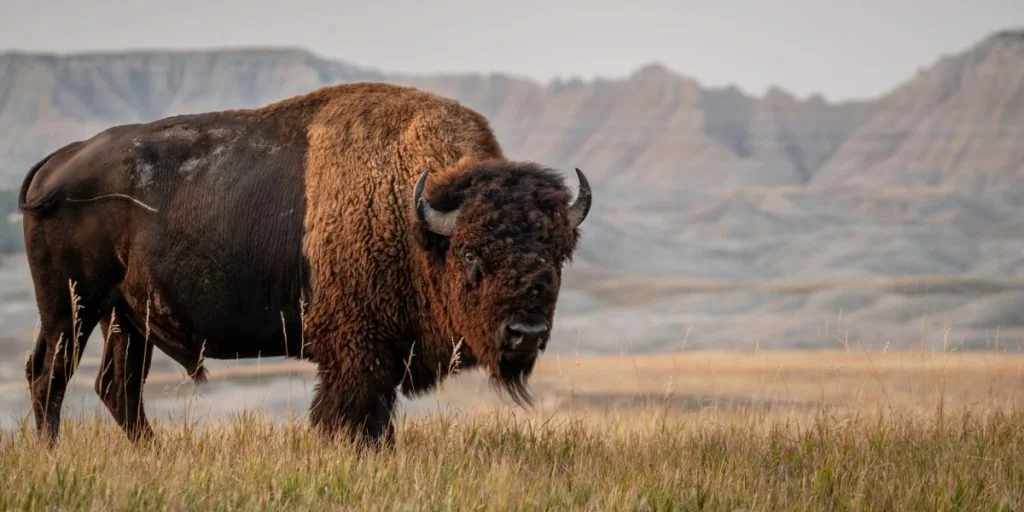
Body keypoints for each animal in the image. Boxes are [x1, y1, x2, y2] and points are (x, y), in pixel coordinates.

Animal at [17, 82, 592, 447]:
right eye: (471, 253)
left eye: (557, 255)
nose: (525, 333)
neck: (415, 216)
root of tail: (57, 162)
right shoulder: (358, 354)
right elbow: (355, 417)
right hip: (70, 308)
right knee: (51, 374)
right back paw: (52, 454)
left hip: (125, 317)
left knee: (117, 387)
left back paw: (154, 454)